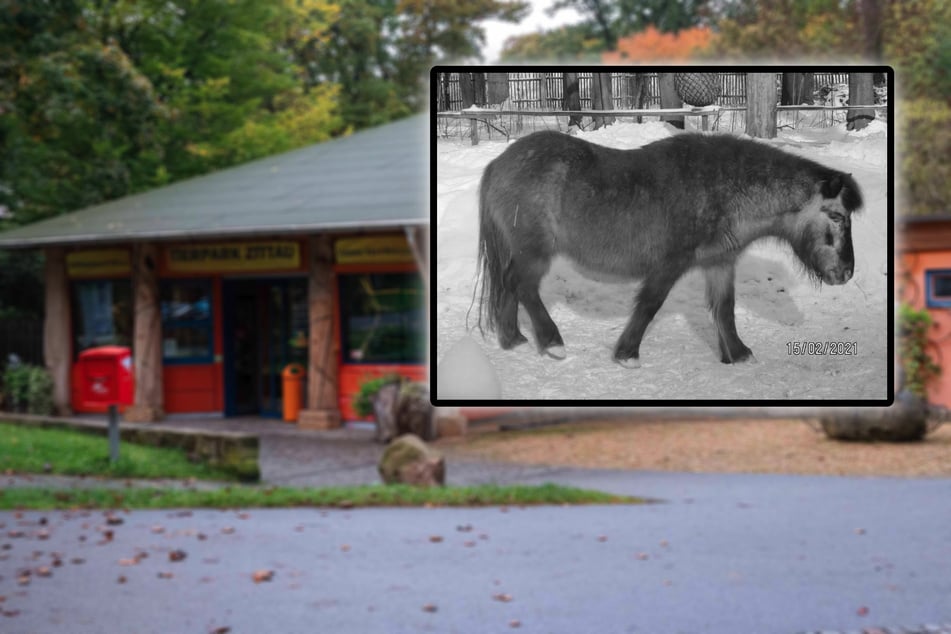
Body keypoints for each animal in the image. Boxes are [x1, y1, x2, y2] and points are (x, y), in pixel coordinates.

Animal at [474, 130, 862, 367]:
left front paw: (736, 354)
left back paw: (513, 339)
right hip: (535, 251)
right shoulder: (669, 265)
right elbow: (649, 305)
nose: (846, 273)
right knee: (523, 286)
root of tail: (498, 163)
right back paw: (551, 342)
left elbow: (725, 309)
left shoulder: (720, 263)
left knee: (509, 284)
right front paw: (627, 354)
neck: (722, 189)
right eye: (837, 216)